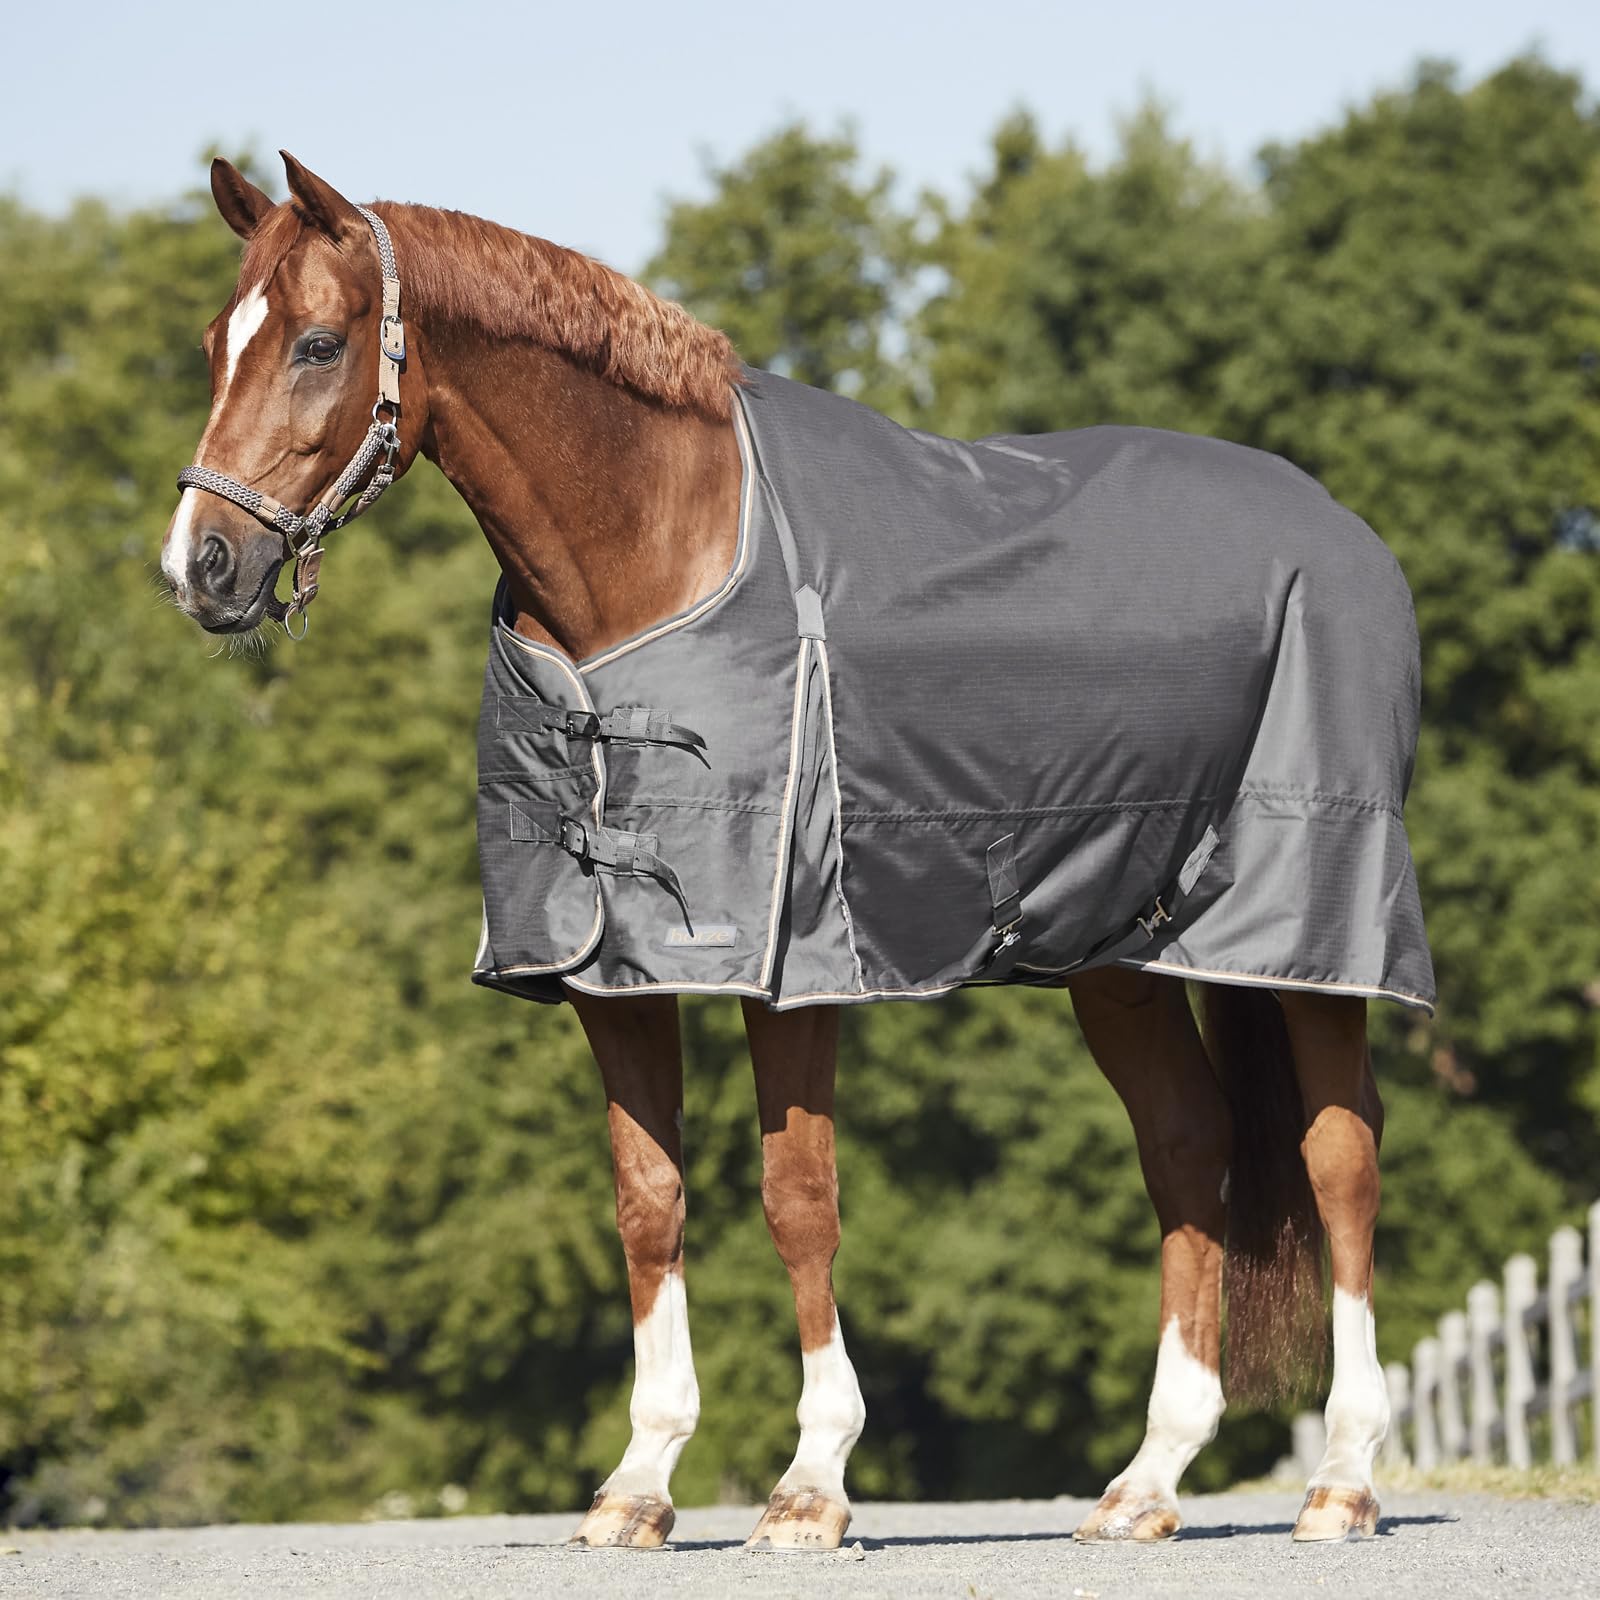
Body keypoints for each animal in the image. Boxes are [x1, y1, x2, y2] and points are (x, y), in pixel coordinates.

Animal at [162, 151, 1424, 1549]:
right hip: (1116, 953)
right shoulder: (609, 973)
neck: (658, 555)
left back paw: (1342, 1477)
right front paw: (638, 1482)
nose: (200, 567)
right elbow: (647, 1199)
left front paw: (812, 1482)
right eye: (215, 341)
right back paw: (1147, 1480)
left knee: (1339, 1157)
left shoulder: (795, 961)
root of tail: (1343, 527)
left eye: (317, 343)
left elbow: (796, 1196)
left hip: (1315, 931)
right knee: (1190, 1147)